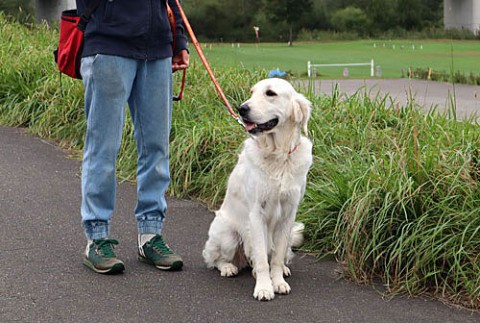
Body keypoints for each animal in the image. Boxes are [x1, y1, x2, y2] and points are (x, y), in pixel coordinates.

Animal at [202, 78, 312, 302]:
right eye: (252, 92)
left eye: (270, 93)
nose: (242, 109)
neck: (279, 155)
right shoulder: (256, 214)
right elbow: (261, 258)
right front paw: (263, 288)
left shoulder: (288, 214)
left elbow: (276, 258)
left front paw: (278, 282)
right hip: (228, 235)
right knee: (214, 258)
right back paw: (228, 267)